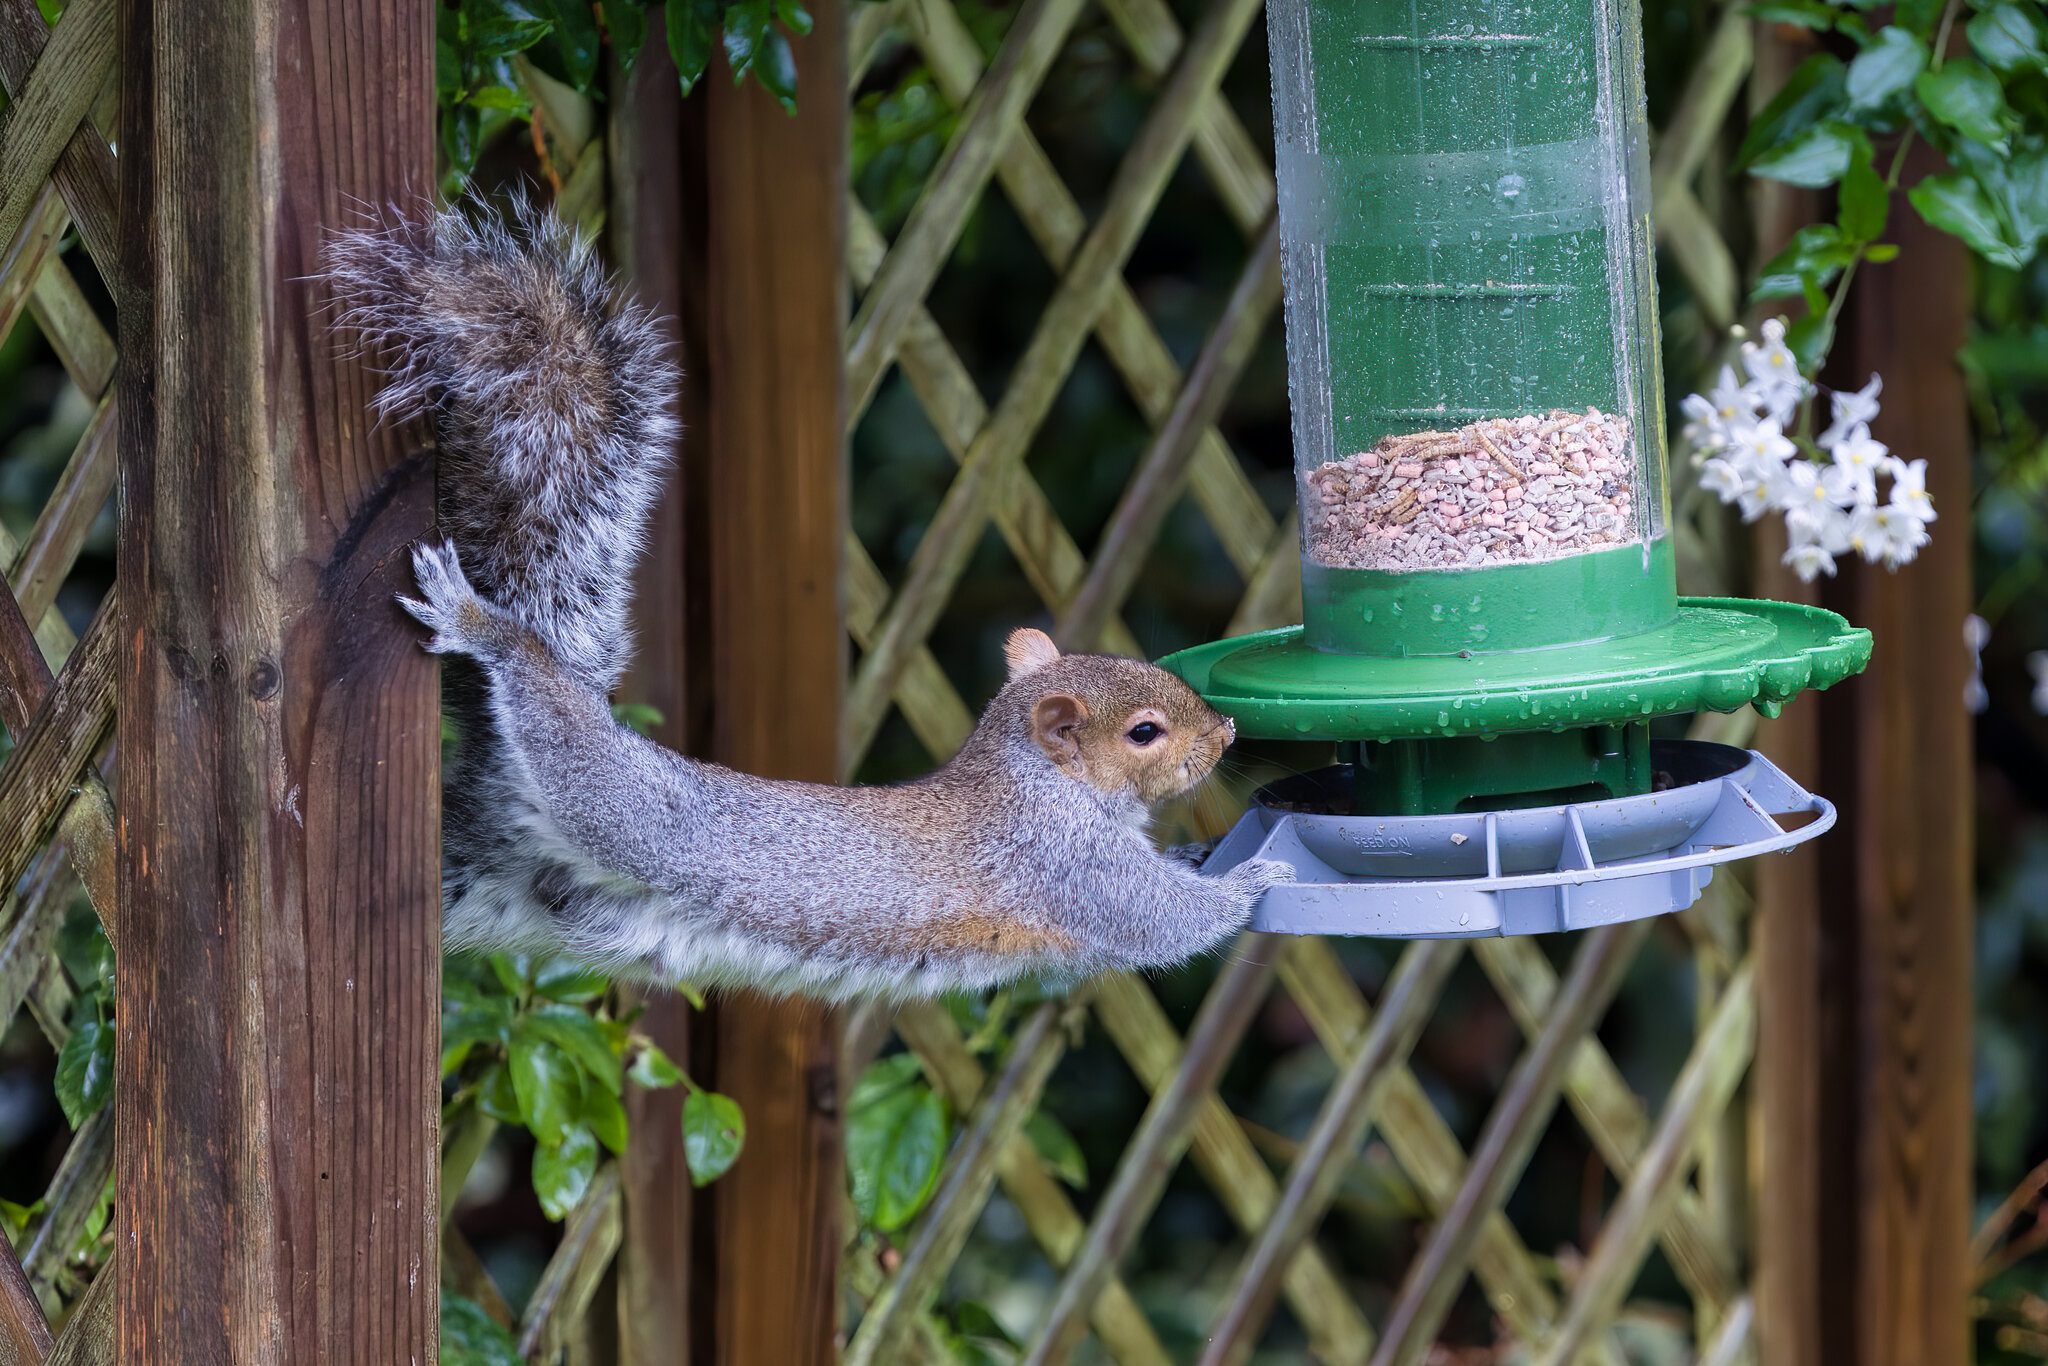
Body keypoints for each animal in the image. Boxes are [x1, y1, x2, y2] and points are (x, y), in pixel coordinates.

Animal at [319, 197, 1286, 999]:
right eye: (1144, 733)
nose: (1227, 734)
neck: (1038, 781)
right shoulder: (1065, 865)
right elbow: (1162, 923)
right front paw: (1251, 881)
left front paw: (1203, 850)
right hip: (617, 805)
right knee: (558, 728)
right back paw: (487, 628)